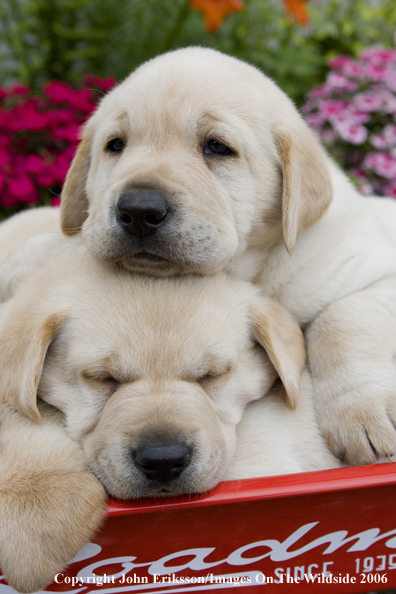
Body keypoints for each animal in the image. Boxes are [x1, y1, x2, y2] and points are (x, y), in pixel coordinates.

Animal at [56, 46, 396, 464]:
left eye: (218, 147)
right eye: (115, 145)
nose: (138, 209)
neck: (253, 266)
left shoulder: (371, 274)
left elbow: (343, 320)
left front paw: (363, 414)